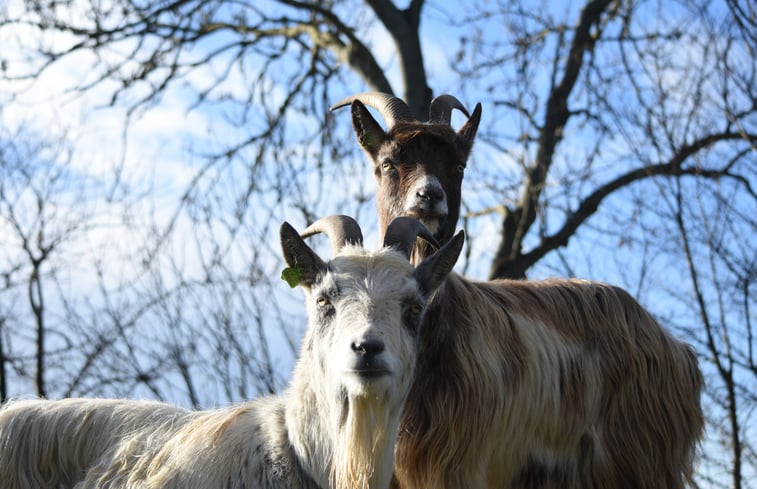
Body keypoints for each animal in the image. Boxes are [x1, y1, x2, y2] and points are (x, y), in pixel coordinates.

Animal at [334, 93, 704, 488]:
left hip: (643, 461)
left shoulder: (455, 463)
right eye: (388, 162)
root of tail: (681, 352)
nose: (429, 195)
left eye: (460, 165)